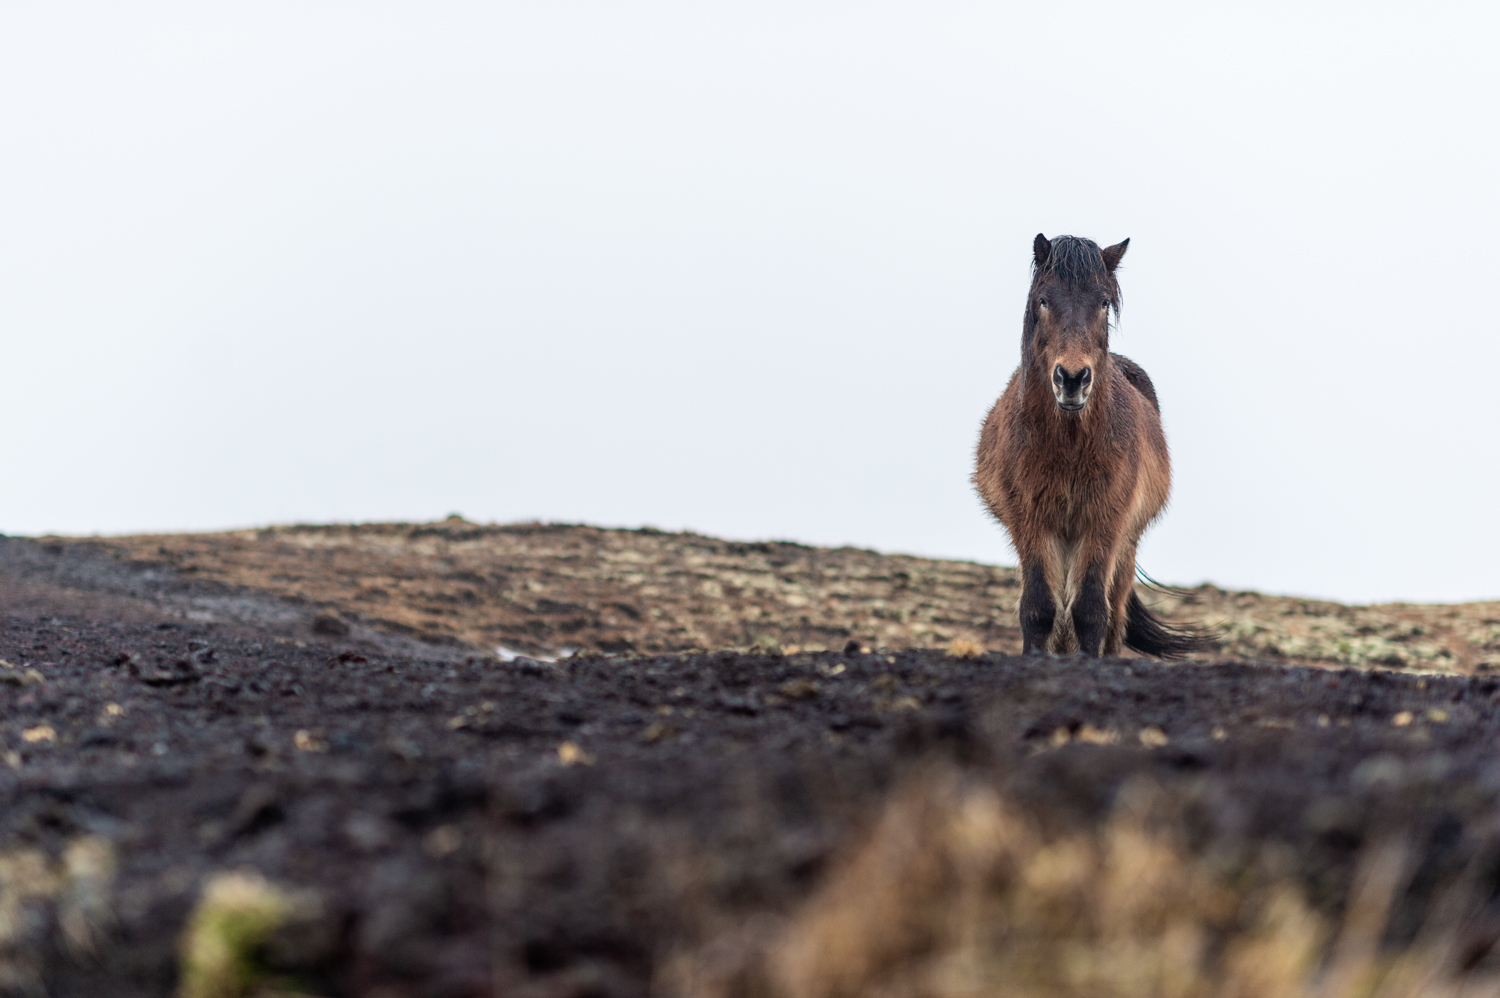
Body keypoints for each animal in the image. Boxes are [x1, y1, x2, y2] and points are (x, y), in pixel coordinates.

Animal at [972, 231, 1206, 654]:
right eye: (1044, 299)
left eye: (1103, 302)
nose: (1072, 379)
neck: (1067, 445)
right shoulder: (1030, 521)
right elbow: (1038, 608)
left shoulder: (1104, 521)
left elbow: (1091, 611)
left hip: (1124, 549)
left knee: (1113, 617)